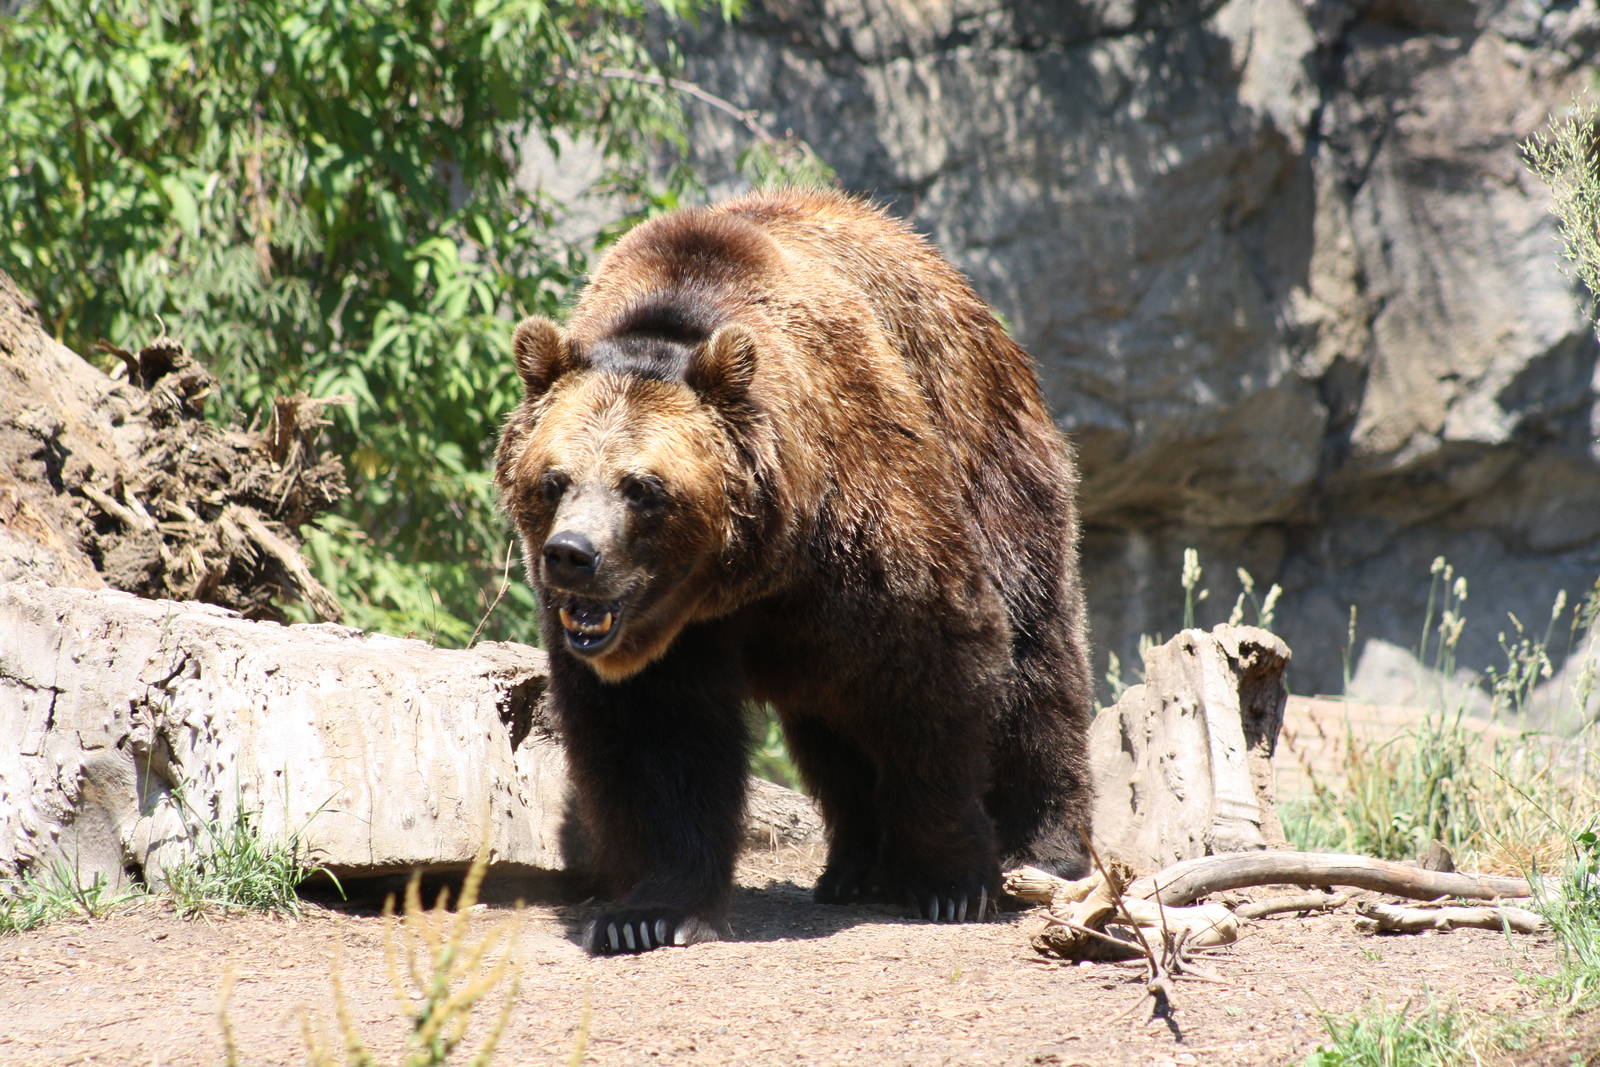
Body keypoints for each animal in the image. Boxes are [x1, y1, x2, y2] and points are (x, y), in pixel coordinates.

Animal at [494, 187, 1093, 955]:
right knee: (832, 727)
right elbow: (657, 734)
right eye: (553, 478)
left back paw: (1043, 847)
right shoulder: (677, 637)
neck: (747, 571)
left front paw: (953, 880)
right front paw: (648, 912)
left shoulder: (869, 530)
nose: (573, 554)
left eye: (643, 487)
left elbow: (935, 673)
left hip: (997, 465)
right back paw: (853, 869)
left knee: (1034, 661)